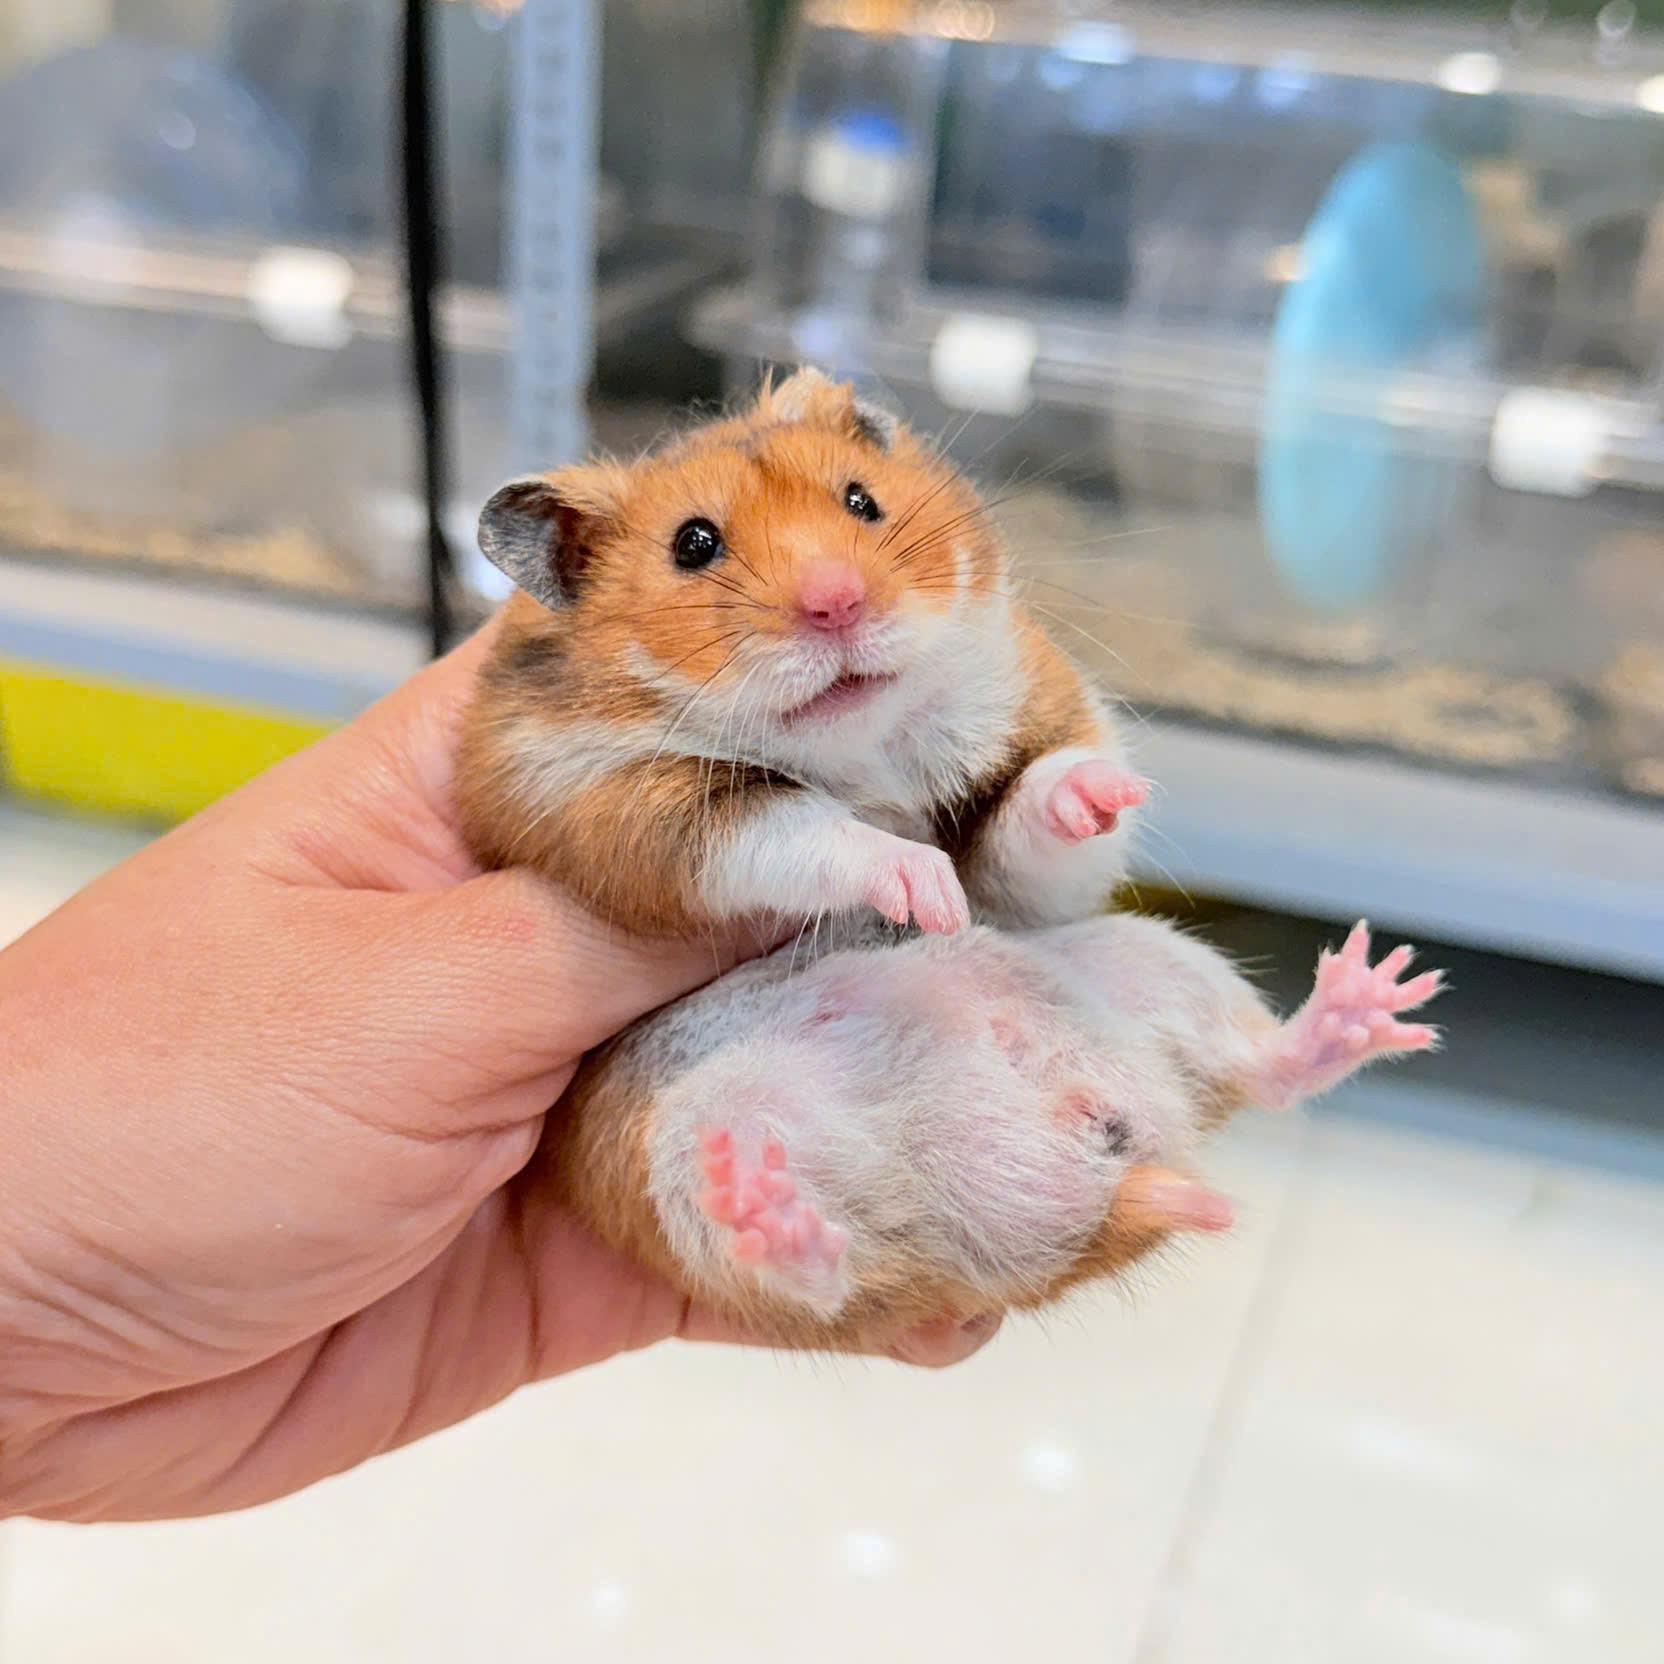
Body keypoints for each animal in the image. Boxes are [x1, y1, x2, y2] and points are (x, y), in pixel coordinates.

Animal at [457, 367, 1147, 939]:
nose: (837, 603)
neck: (864, 746)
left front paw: (1112, 792)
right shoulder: (619, 810)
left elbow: (1035, 830)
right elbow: (803, 828)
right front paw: (930, 891)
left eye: (861, 499)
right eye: (693, 543)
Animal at [545, 916, 1443, 1351]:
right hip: (703, 1134)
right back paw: (768, 1209)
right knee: (830, 1275)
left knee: (1261, 1068)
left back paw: (1364, 998)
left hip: (1133, 955)